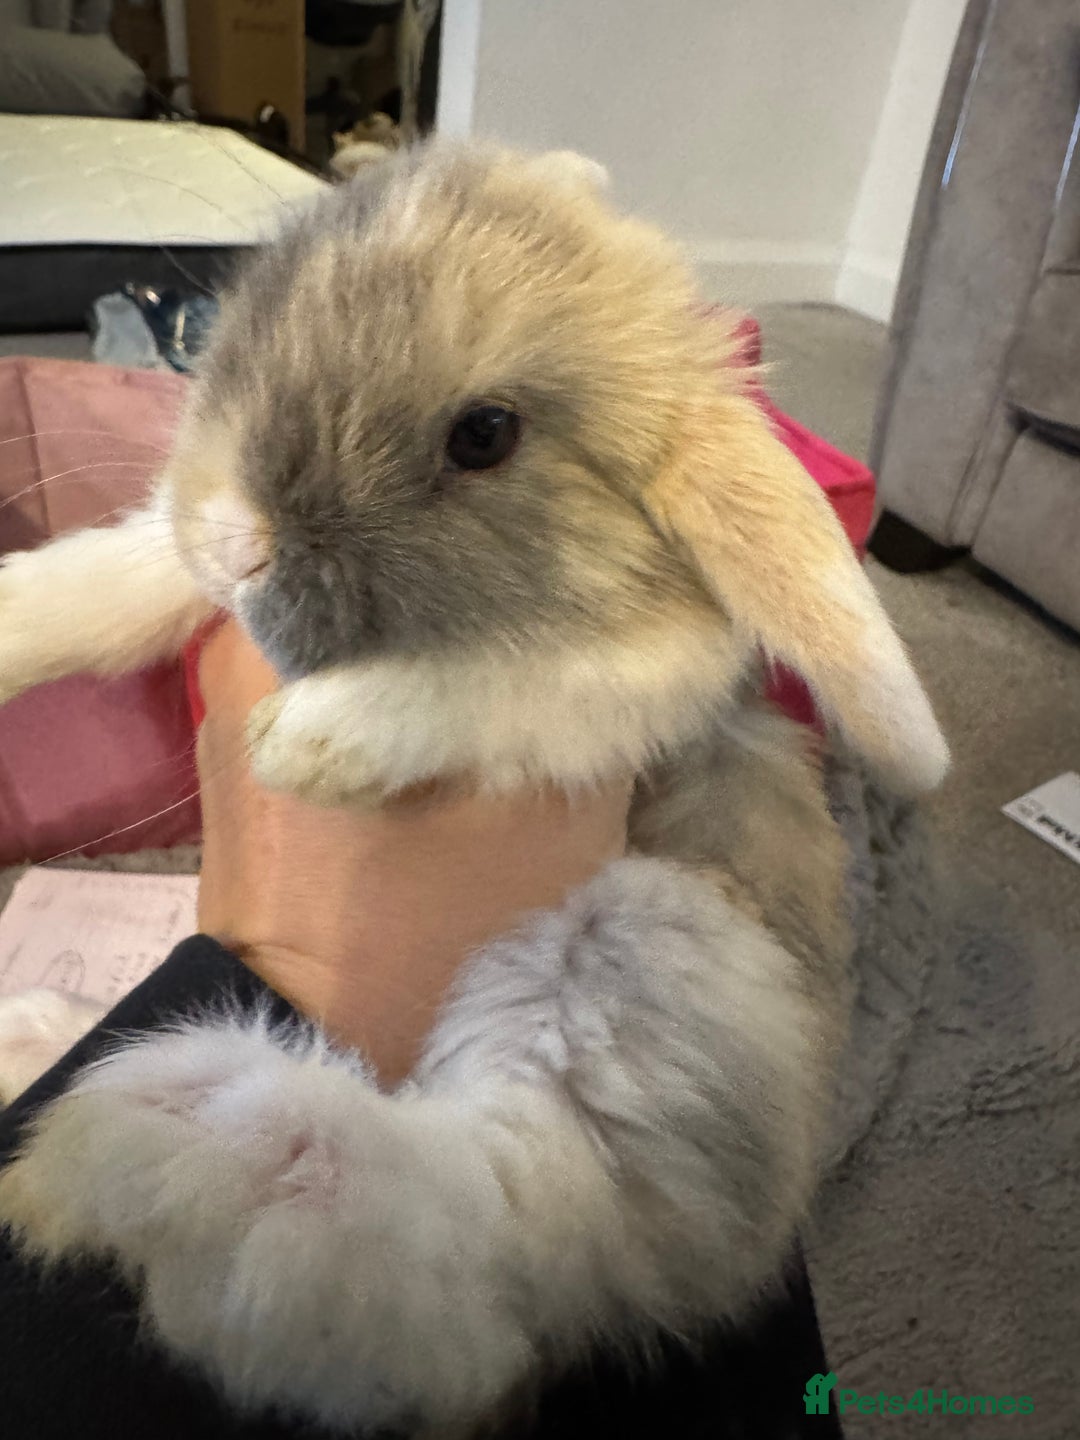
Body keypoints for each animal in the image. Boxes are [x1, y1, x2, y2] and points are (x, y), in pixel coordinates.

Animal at [0, 142, 948, 1434]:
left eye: (485, 435)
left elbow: (502, 682)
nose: (240, 540)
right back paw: (43, 1036)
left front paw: (312, 740)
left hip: (644, 943)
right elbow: (121, 574)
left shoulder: (646, 677)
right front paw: (14, 618)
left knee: (469, 1262)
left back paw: (179, 1132)